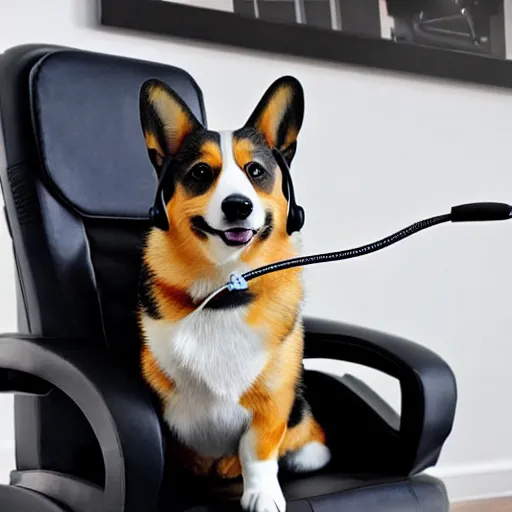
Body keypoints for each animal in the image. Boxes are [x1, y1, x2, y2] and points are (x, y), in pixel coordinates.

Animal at [136, 76, 330, 512]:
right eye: (201, 172)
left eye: (255, 171)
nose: (238, 206)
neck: (225, 289)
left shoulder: (273, 405)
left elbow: (257, 453)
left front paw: (263, 497)